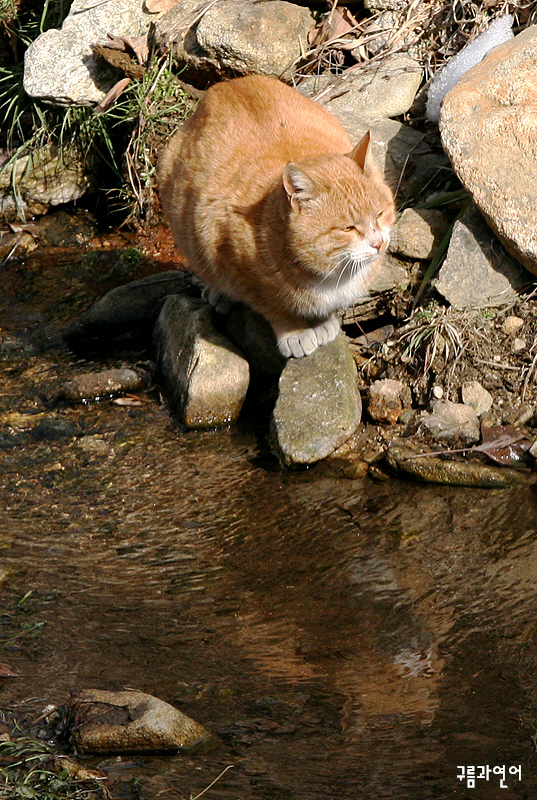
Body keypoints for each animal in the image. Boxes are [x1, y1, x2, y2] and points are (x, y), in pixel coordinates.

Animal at [158, 74, 394, 356]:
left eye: (380, 214)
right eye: (348, 228)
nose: (378, 243)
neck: (333, 273)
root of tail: (226, 84)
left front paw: (322, 320)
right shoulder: (239, 269)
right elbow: (274, 306)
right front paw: (295, 331)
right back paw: (219, 293)